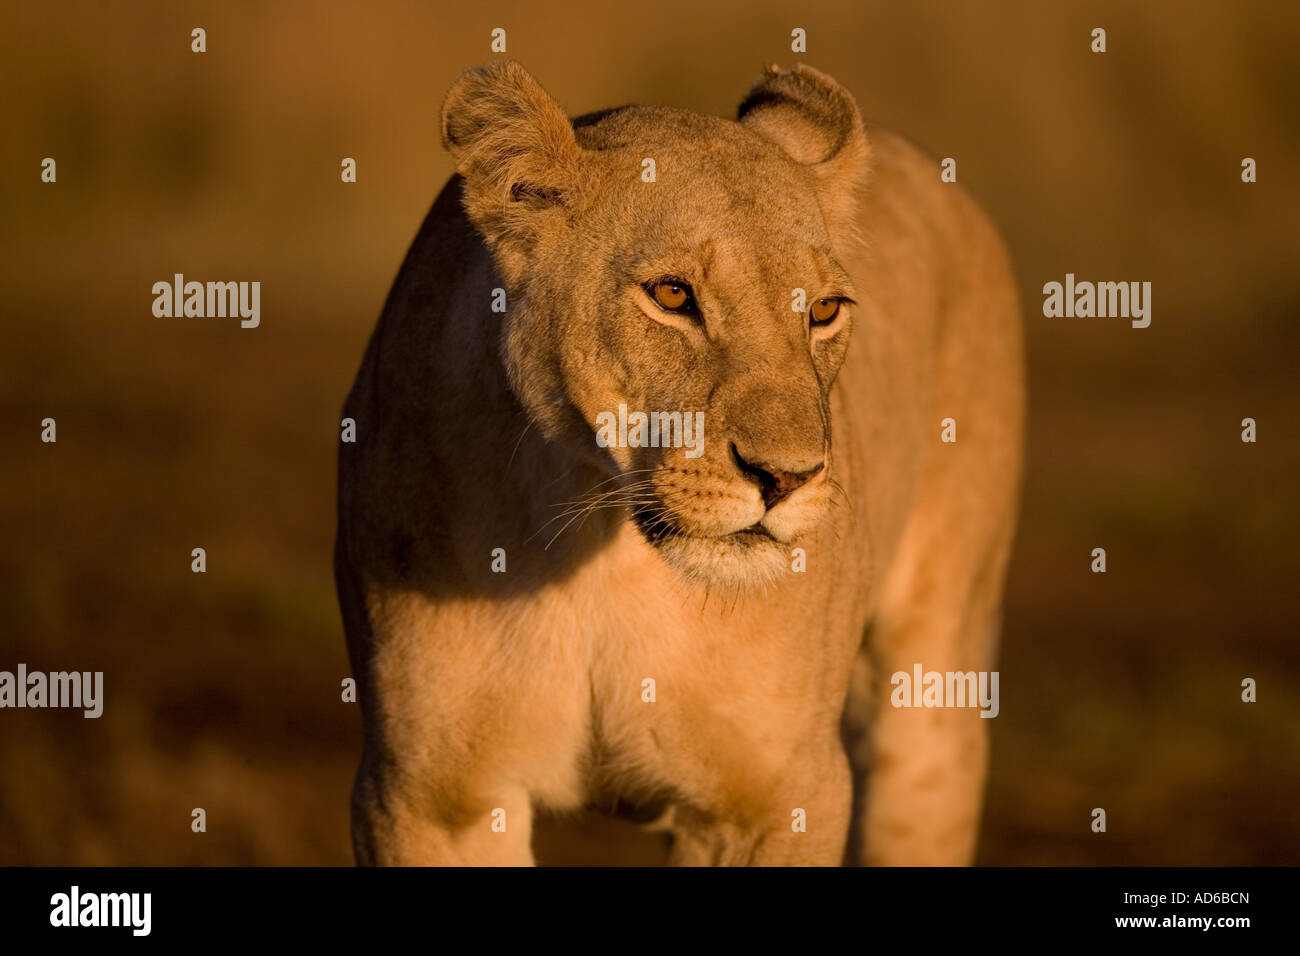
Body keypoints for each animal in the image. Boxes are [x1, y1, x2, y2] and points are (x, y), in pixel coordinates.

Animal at [334, 61, 1024, 866]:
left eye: (823, 311)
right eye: (672, 296)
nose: (787, 478)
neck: (603, 554)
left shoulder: (780, 796)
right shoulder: (425, 796)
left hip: (930, 713)